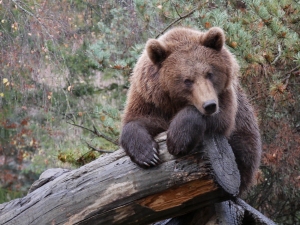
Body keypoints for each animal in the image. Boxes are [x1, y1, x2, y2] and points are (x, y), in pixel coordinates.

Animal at [120, 26, 262, 193]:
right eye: (187, 80)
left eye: (209, 73)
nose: (209, 105)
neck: (174, 102)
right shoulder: (149, 99)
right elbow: (137, 120)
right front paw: (148, 155)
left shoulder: (225, 97)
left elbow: (221, 119)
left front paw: (177, 140)